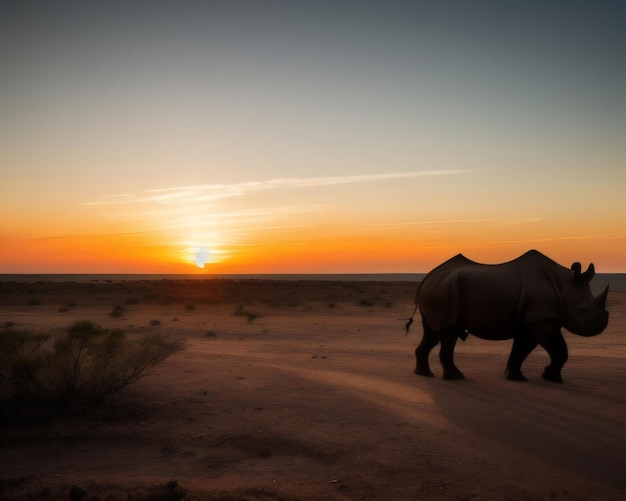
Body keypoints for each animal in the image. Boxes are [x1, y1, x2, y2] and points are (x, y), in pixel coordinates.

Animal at [408, 250, 608, 382]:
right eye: (584, 310)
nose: (601, 325)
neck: (563, 285)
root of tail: (426, 278)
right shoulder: (540, 318)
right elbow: (559, 349)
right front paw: (551, 378)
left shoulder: (530, 320)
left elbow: (521, 349)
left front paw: (515, 376)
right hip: (443, 292)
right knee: (448, 336)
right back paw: (456, 378)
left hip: (438, 291)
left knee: (432, 335)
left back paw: (425, 374)